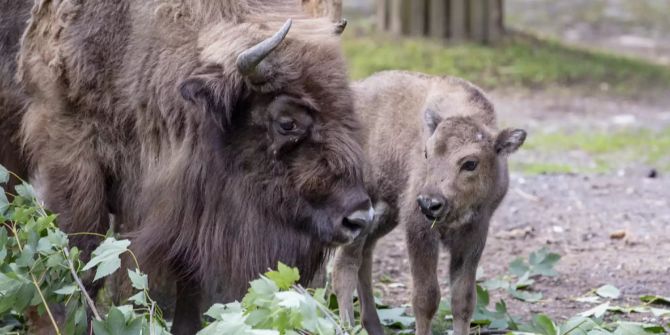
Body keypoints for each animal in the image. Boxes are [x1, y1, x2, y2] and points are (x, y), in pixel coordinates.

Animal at [2, 0, 376, 334]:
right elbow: (79, 250)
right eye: (287, 122)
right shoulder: (72, 153)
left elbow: (187, 283)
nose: (359, 218)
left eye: (347, 109)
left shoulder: (188, 204)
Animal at [334, 71, 528, 335]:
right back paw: (348, 326)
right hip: (363, 205)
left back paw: (373, 325)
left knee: (365, 253)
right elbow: (426, 297)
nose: (429, 203)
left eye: (470, 163)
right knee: (346, 262)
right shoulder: (419, 228)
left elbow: (463, 300)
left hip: (387, 213)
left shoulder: (474, 233)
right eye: (426, 153)